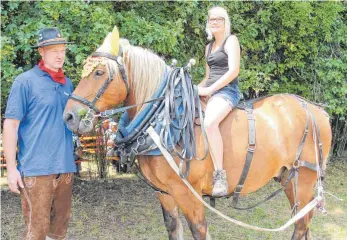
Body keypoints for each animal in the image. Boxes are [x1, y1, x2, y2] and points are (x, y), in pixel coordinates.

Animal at [64, 29, 334, 239]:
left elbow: (198, 230)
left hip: (305, 178)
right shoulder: (164, 193)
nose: (69, 117)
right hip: (289, 178)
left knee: (301, 224)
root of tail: (316, 110)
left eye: (99, 73)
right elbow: (173, 228)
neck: (161, 123)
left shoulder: (188, 193)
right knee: (303, 220)